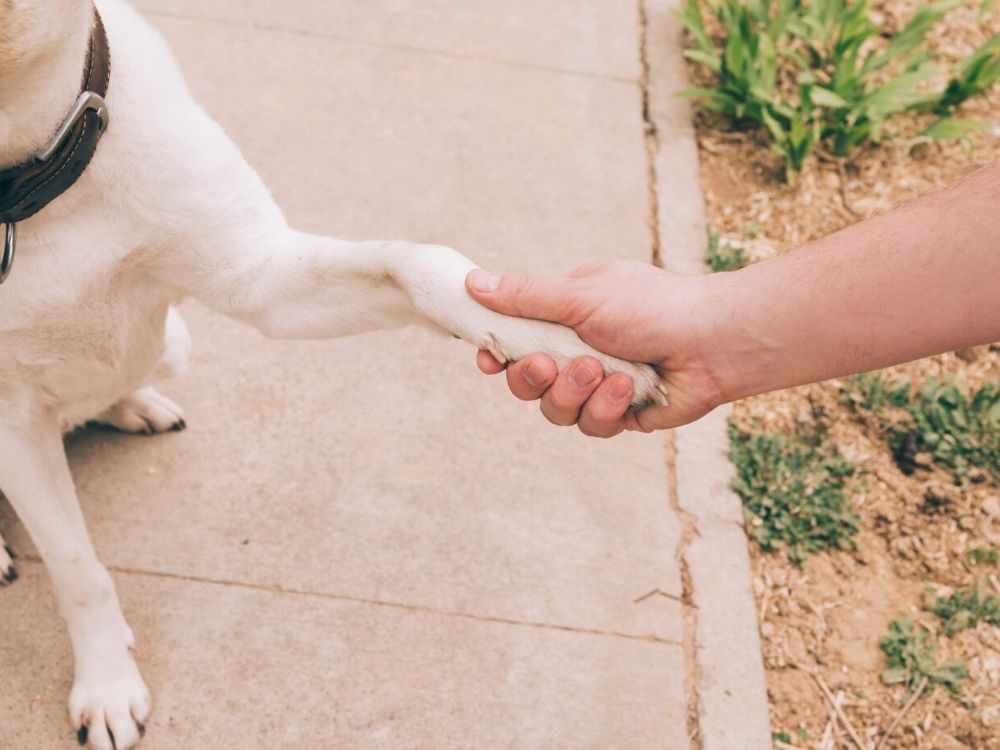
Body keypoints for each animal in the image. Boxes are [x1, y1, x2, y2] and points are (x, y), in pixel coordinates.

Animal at [1, 2, 672, 748]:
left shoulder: (262, 278)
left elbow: (418, 263)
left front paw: (570, 342)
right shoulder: (12, 425)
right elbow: (77, 569)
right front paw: (107, 684)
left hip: (175, 340)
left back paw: (132, 404)